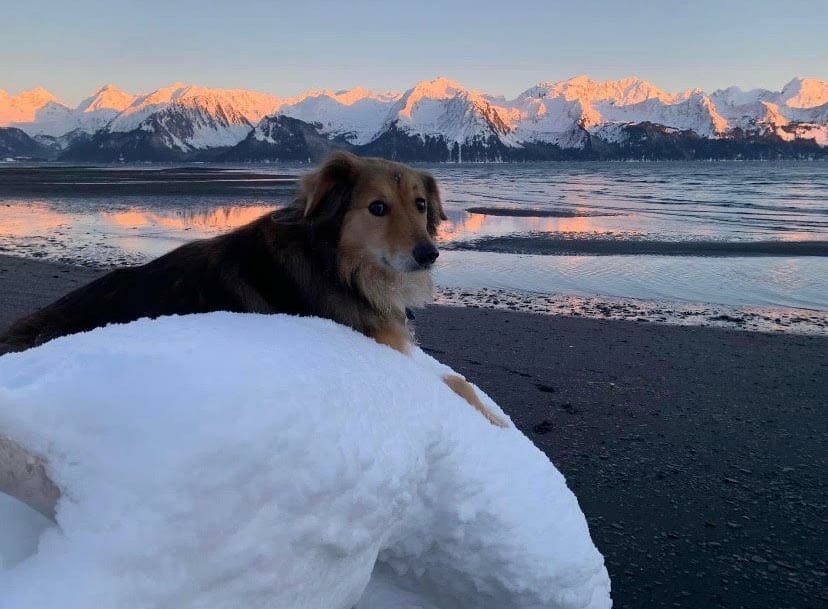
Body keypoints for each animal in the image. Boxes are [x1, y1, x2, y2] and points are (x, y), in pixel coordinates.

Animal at [0, 152, 508, 428]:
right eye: (377, 208)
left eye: (420, 204)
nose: (428, 254)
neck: (335, 264)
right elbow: (457, 385)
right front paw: (495, 420)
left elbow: (458, 381)